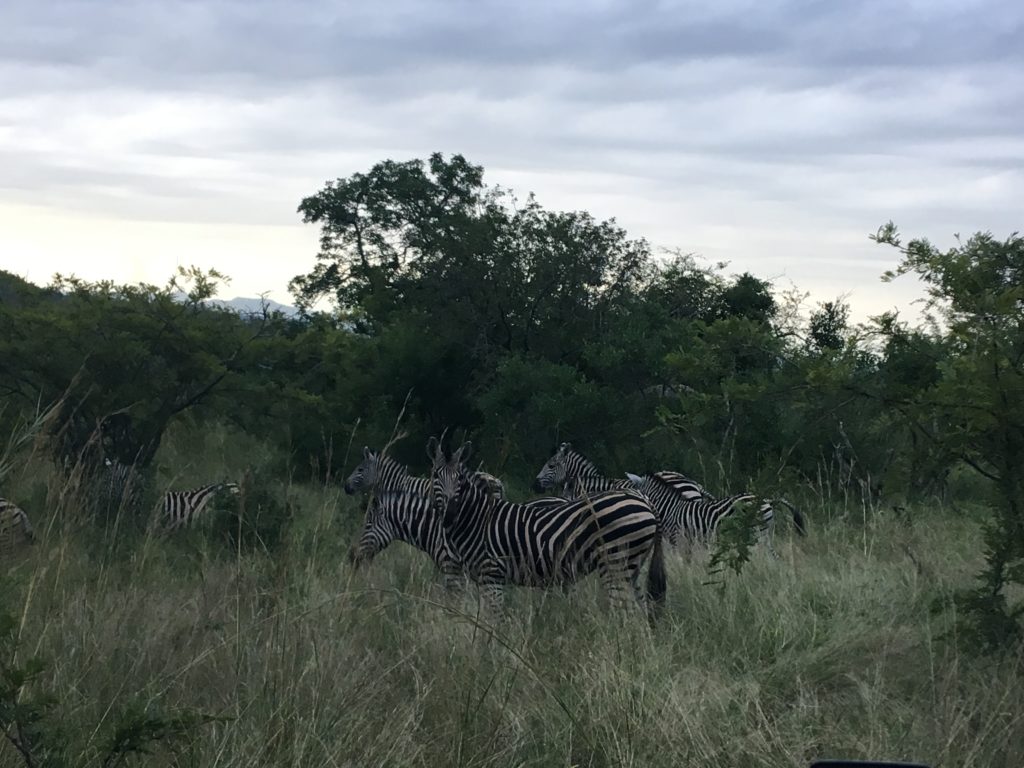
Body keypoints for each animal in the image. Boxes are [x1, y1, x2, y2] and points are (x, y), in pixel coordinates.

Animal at [430, 442, 663, 622]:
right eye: (435, 477)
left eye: (460, 479)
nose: (449, 513)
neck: (478, 519)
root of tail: (645, 501)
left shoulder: (491, 573)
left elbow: (492, 618)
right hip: (633, 566)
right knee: (640, 611)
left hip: (615, 563)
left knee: (625, 613)